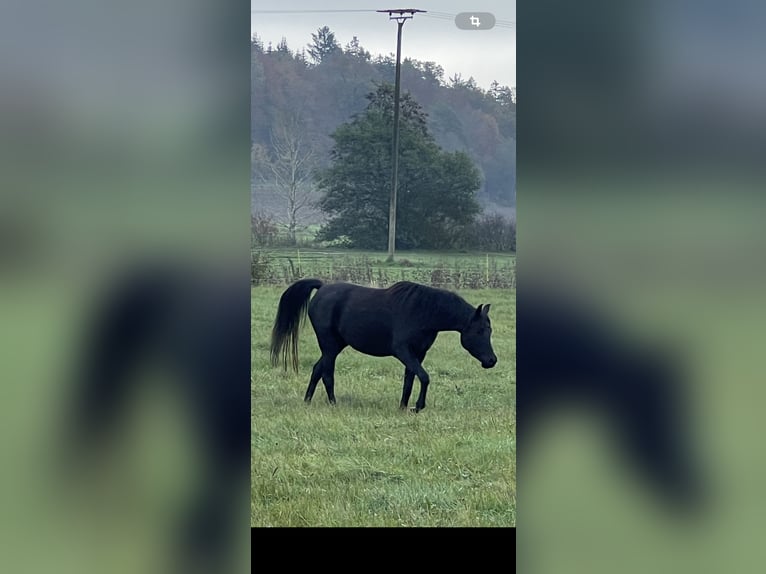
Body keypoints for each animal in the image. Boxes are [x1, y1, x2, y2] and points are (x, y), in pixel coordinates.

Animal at [270, 280, 498, 412]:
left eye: (489, 330)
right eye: (480, 331)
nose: (491, 361)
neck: (424, 311)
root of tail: (323, 286)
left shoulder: (418, 353)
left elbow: (410, 379)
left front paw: (403, 406)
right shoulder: (403, 351)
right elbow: (424, 377)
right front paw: (418, 406)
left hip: (335, 345)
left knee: (318, 369)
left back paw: (308, 401)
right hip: (329, 345)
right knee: (326, 373)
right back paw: (333, 403)